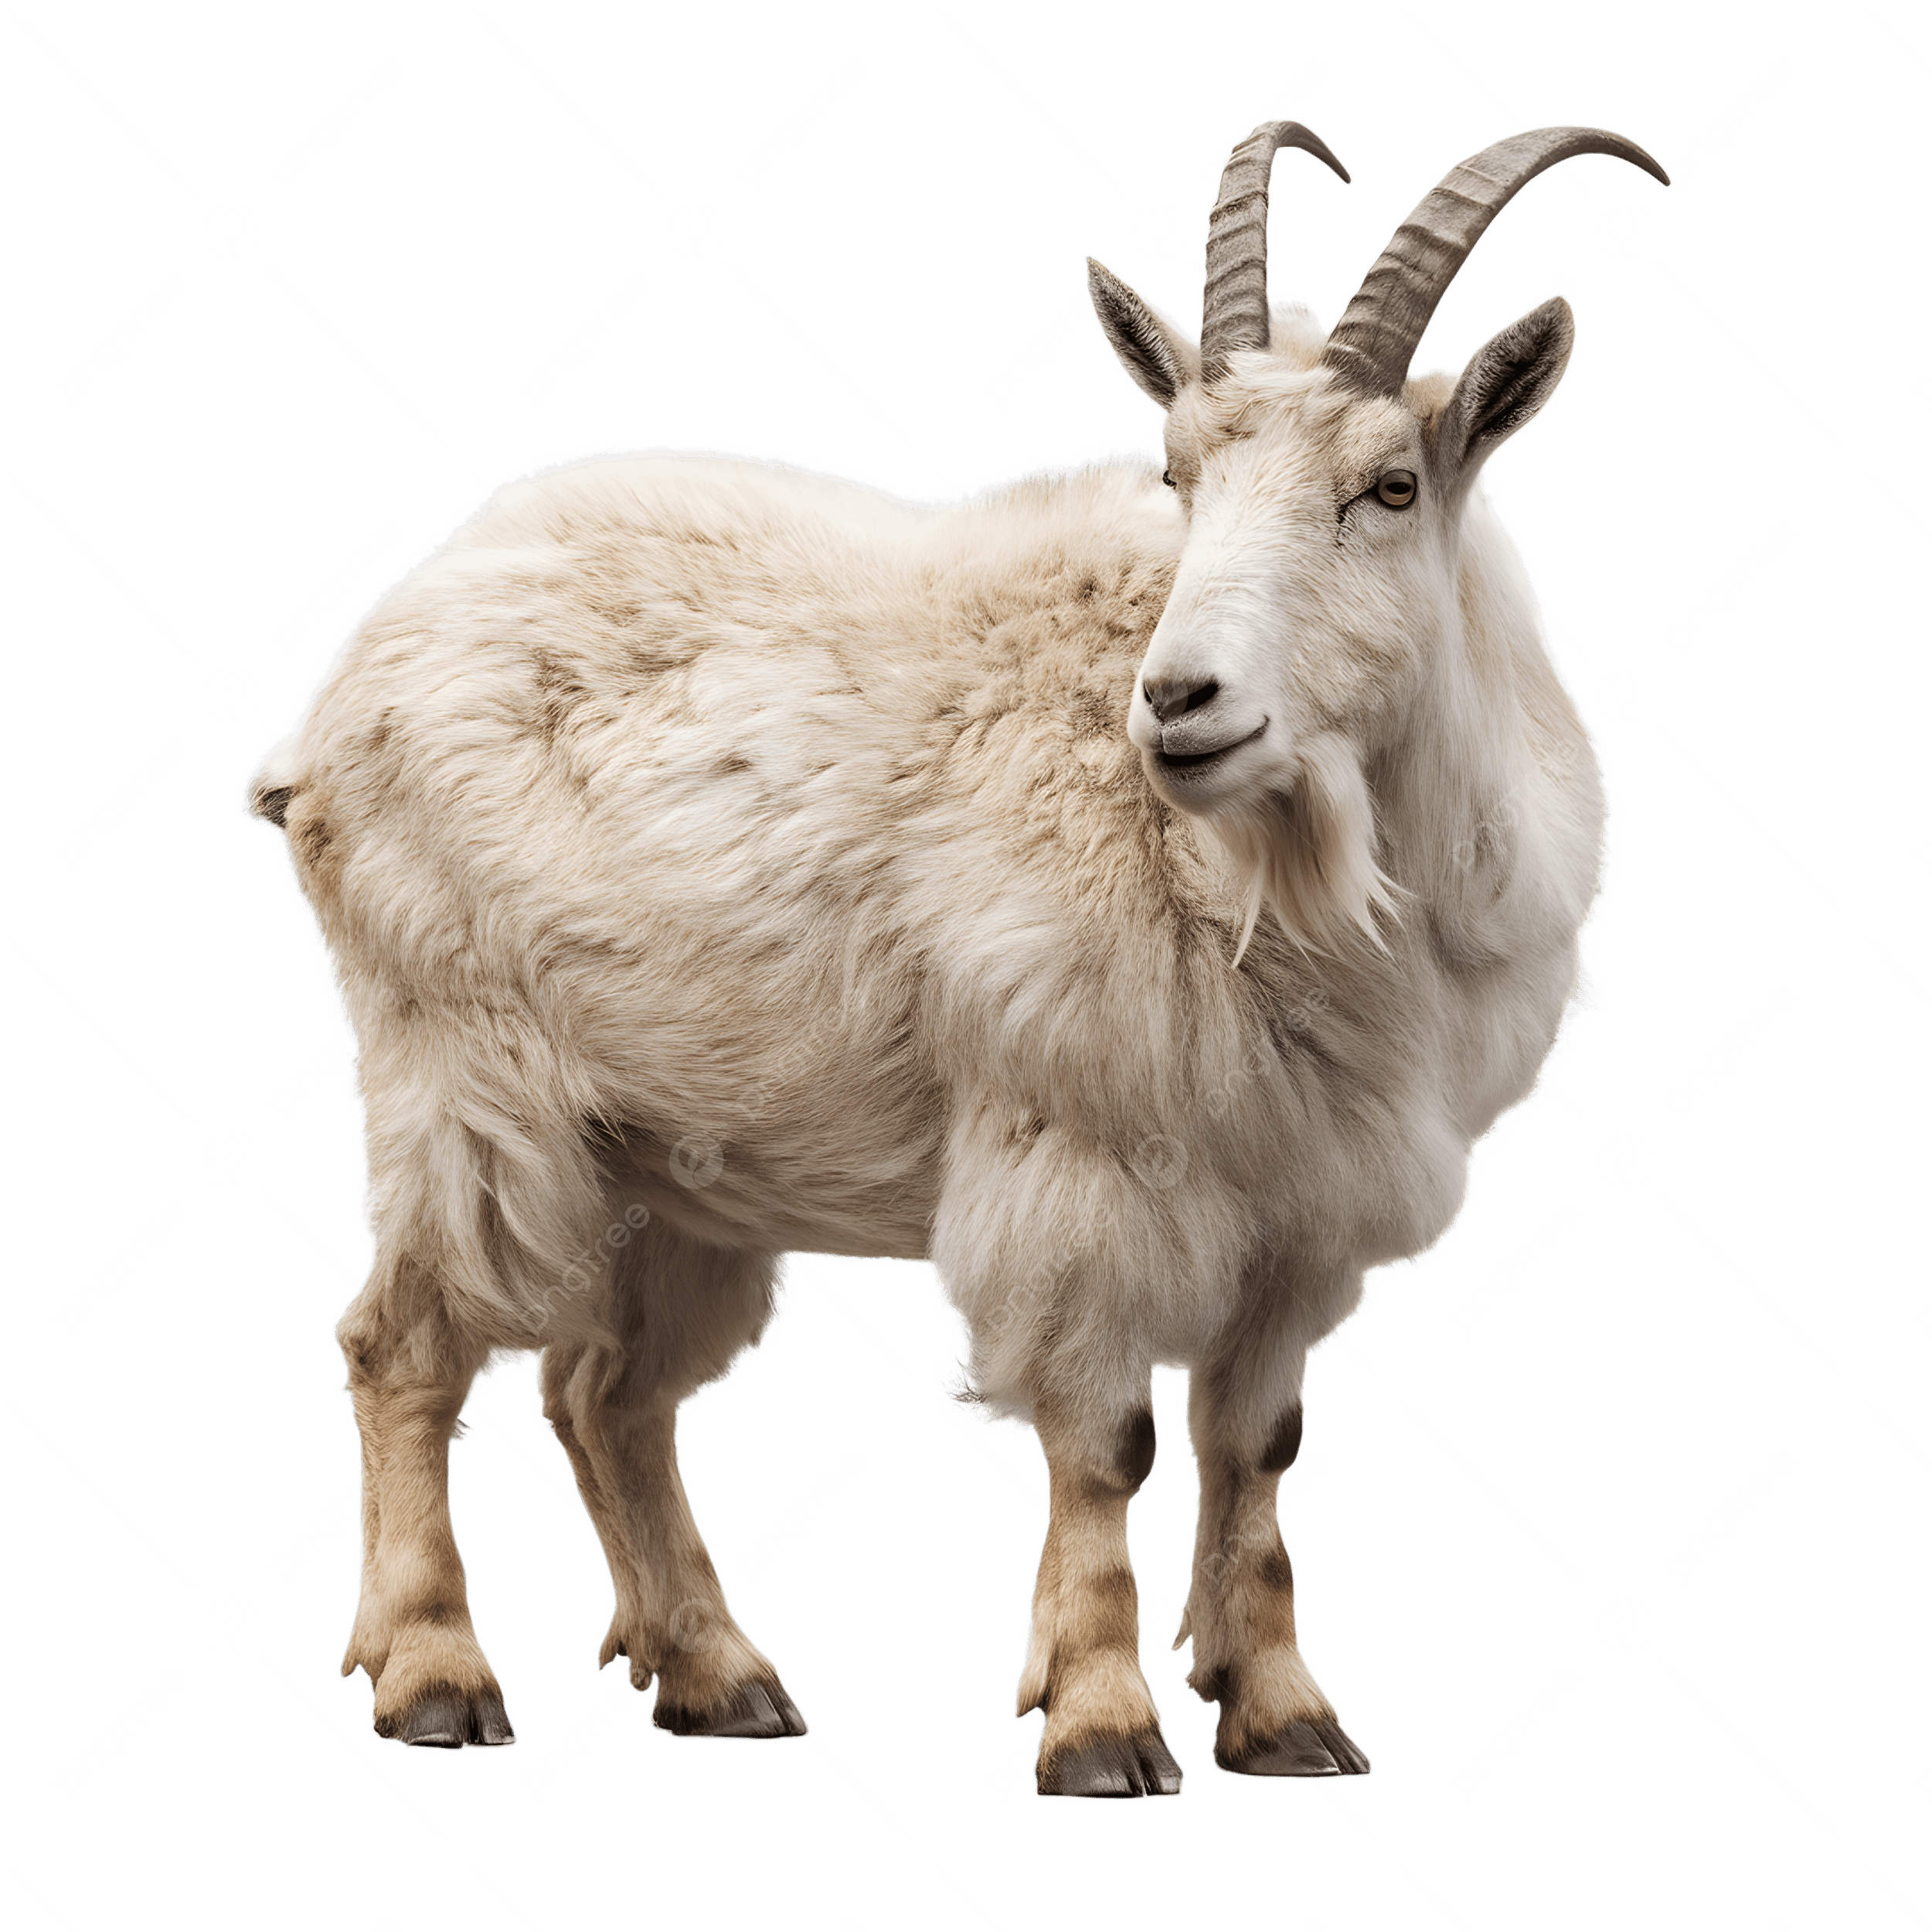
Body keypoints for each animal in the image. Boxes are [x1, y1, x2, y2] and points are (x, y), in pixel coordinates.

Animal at [242, 117, 1667, 1798]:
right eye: (1177, 474)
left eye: (1387, 485)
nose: (1179, 702)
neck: (1301, 863)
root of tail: (333, 705)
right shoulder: (1084, 1151)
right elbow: (1107, 1439)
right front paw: (1102, 1724)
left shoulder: (1295, 1200)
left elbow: (1251, 1443)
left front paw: (1282, 1716)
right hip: (460, 1065)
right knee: (402, 1341)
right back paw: (432, 1676)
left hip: (664, 1148)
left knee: (605, 1392)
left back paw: (718, 1677)